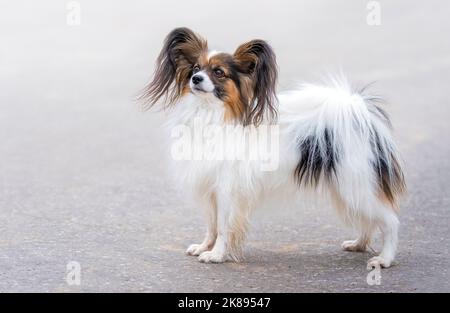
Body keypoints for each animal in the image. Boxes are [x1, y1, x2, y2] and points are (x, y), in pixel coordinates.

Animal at [142, 28, 406, 268]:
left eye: (218, 72)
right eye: (196, 68)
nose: (196, 79)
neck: (210, 114)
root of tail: (355, 113)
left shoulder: (227, 188)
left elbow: (224, 227)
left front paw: (216, 255)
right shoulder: (210, 188)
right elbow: (212, 224)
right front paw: (204, 246)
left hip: (356, 185)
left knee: (390, 221)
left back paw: (385, 259)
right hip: (346, 189)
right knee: (367, 220)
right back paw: (359, 244)